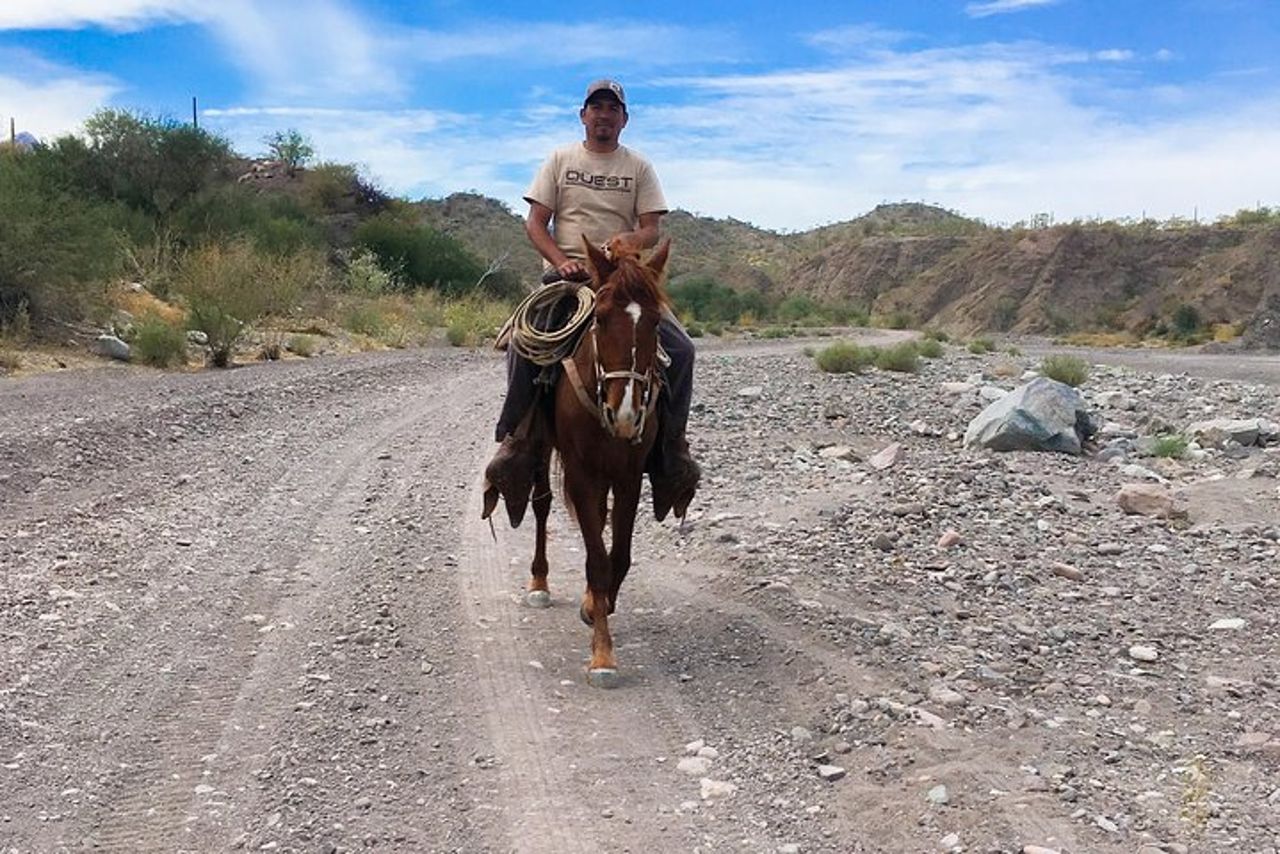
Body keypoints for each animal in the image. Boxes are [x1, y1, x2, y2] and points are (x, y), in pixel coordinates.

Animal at [522, 237, 671, 688]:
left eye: (655, 323)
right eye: (601, 319)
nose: (624, 413)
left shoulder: (628, 475)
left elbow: (616, 556)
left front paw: (595, 607)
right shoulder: (581, 473)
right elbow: (596, 560)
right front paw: (603, 656)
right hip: (542, 448)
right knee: (541, 505)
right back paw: (539, 582)